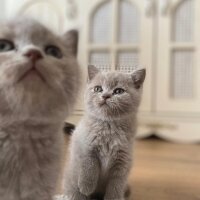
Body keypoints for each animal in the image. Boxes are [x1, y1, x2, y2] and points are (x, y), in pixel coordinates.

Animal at [65, 65, 146, 200]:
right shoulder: (86, 148)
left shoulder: (123, 160)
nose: (105, 96)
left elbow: (116, 184)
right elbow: (89, 166)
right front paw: (86, 187)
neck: (109, 127)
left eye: (118, 91)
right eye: (98, 88)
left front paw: (113, 197)